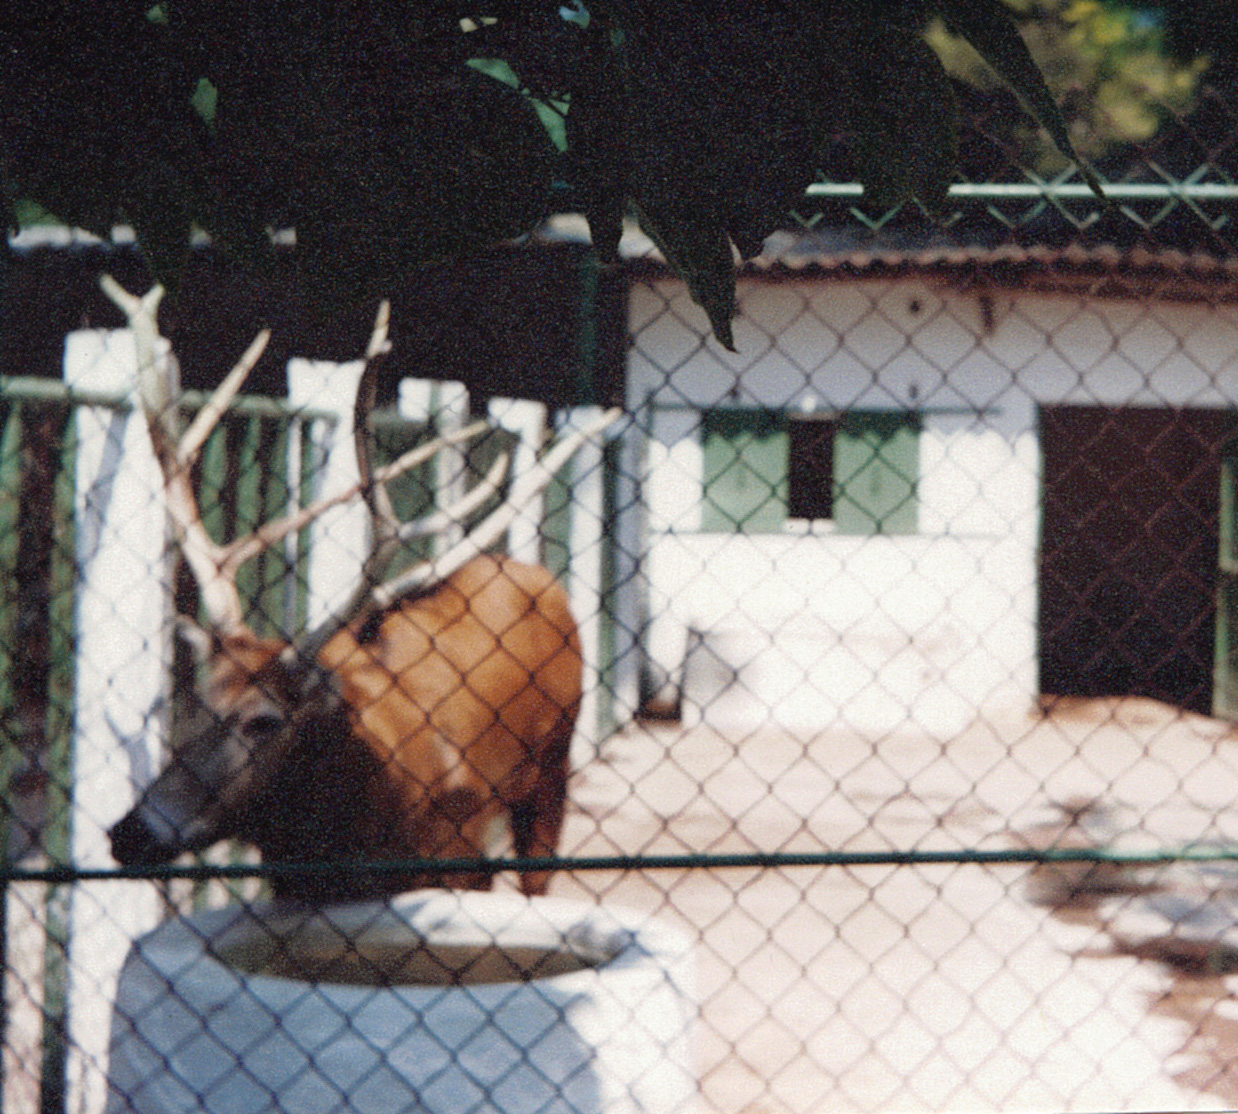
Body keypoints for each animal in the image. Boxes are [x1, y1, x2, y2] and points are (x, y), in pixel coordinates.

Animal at [102, 276, 619, 904]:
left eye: (263, 720)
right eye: (196, 703)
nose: (131, 833)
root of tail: (533, 574)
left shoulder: (457, 854)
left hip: (551, 772)